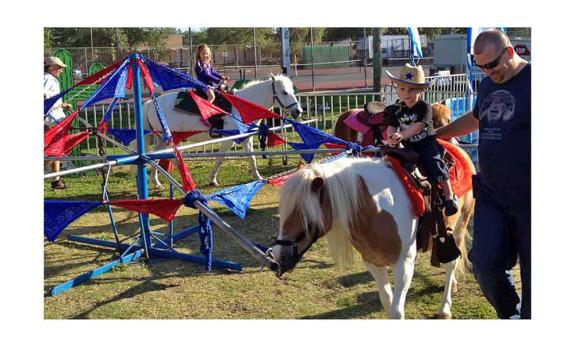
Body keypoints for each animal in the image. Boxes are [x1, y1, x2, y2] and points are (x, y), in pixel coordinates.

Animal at [142, 74, 304, 187]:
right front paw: (212, 179)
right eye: (284, 92)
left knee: (156, 156)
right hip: (171, 139)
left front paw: (258, 177)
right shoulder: (229, 140)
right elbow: (220, 158)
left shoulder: (246, 138)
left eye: (292, 90)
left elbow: (251, 157)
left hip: (162, 139)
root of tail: (151, 103)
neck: (239, 109)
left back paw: (156, 182)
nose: (298, 111)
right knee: (171, 158)